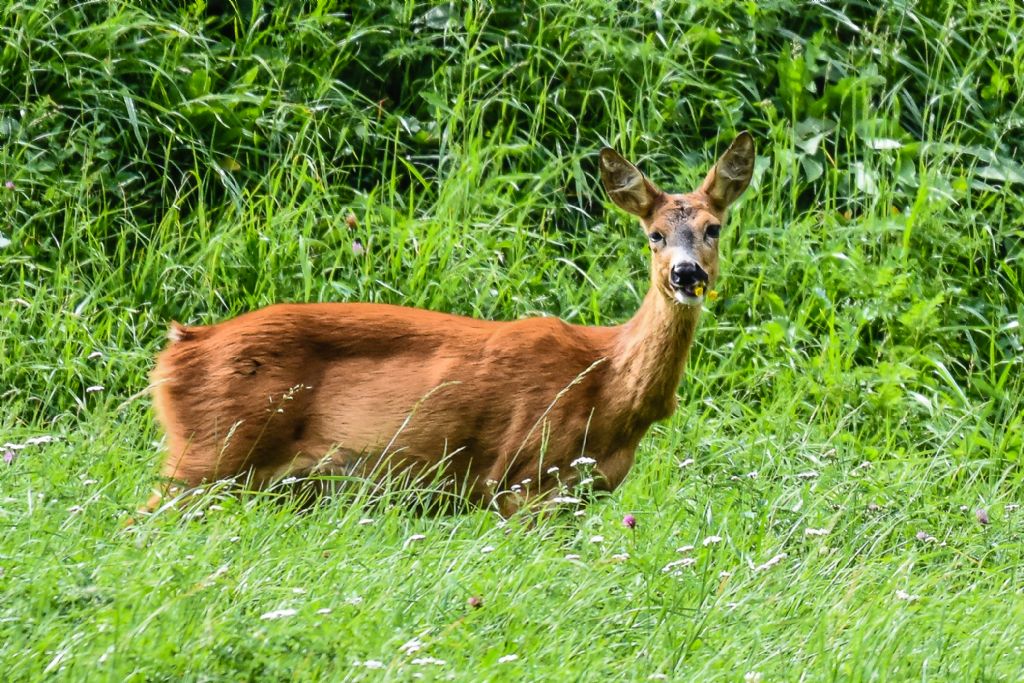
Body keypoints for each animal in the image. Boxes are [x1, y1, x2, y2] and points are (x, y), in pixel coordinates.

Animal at [148, 135, 757, 518]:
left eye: (714, 227)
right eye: (654, 233)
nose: (687, 273)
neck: (608, 383)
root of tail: (179, 347)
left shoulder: (583, 493)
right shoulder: (523, 480)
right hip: (209, 454)